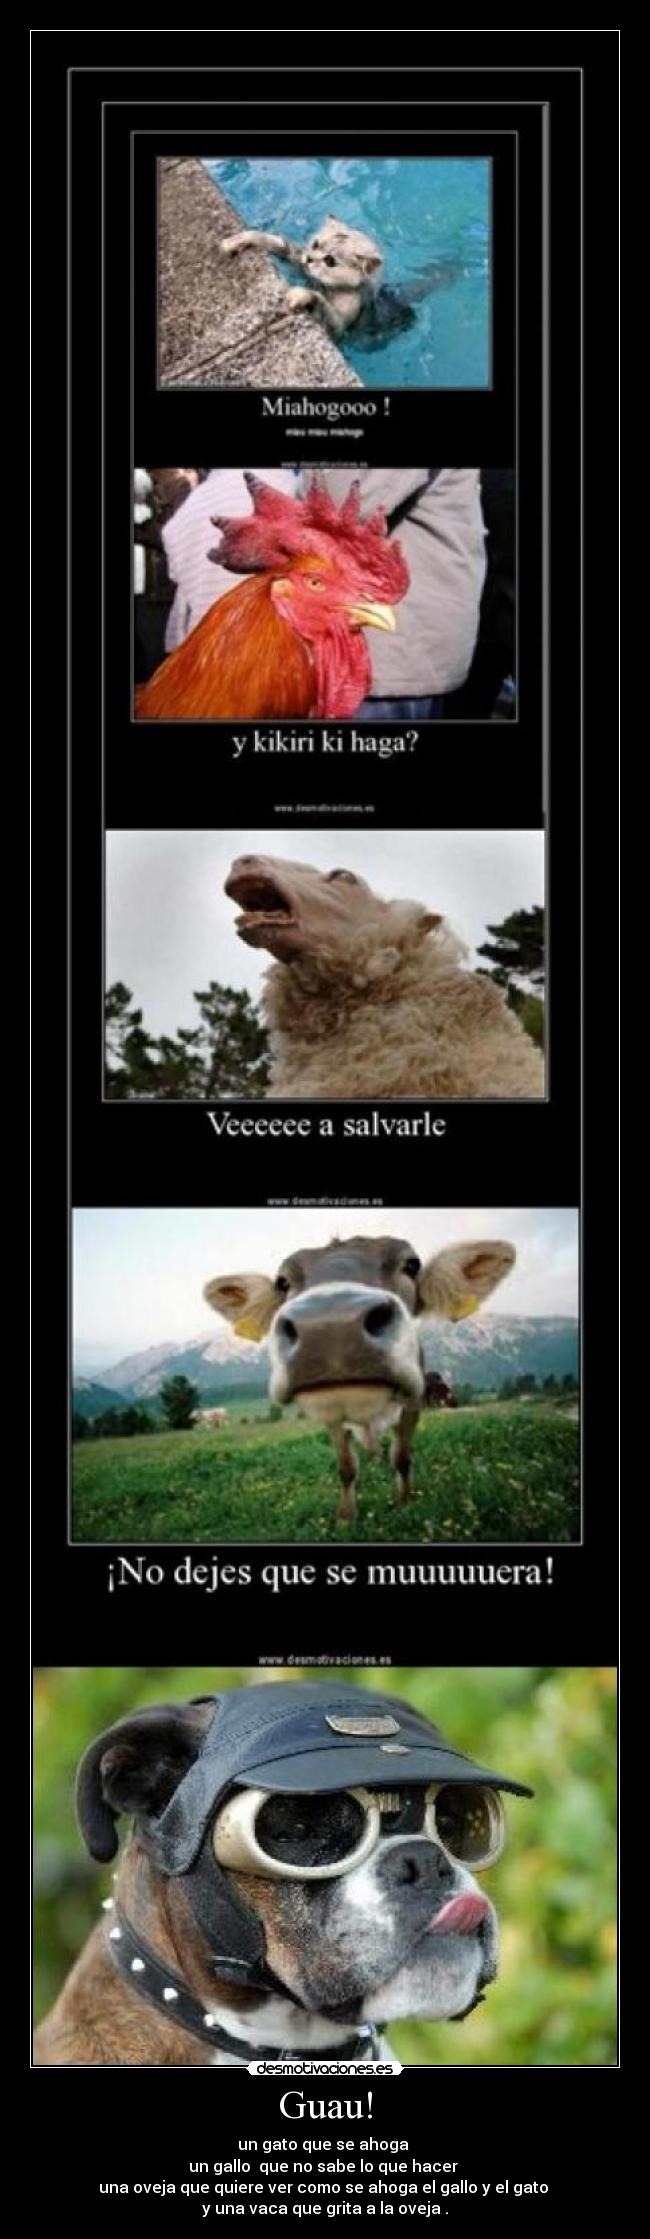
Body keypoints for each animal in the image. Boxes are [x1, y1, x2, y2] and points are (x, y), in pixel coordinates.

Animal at [204, 1234, 515, 1522]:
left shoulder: (413, 1406)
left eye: (411, 1265)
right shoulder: (331, 1418)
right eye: (282, 1282)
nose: (331, 1324)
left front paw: (405, 1503)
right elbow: (346, 1467)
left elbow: (402, 1458)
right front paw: (346, 1517)